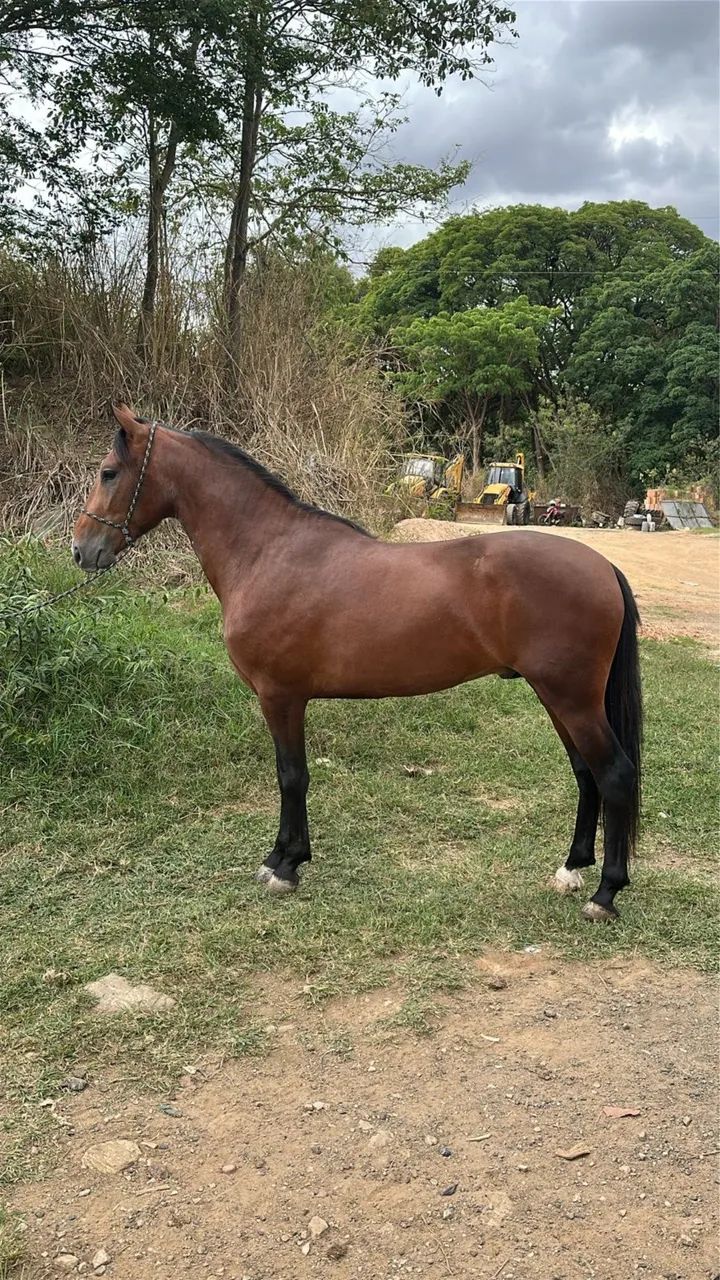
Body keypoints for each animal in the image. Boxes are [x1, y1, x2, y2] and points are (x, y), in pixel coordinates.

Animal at [72, 404, 642, 923]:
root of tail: (603, 566)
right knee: (585, 774)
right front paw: (283, 857)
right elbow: (291, 775)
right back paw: (571, 869)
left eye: (108, 472)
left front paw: (285, 866)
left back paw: (605, 893)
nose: (81, 550)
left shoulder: (280, 696)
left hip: (572, 699)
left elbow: (291, 775)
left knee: (613, 774)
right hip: (557, 698)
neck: (267, 551)